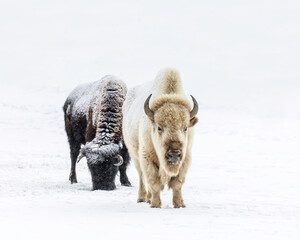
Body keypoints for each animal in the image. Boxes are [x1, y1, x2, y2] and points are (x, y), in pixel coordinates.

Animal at [123, 68, 198, 207]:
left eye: (185, 128)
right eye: (159, 127)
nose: (174, 154)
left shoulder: (186, 158)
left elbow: (177, 184)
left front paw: (180, 204)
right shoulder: (146, 157)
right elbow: (154, 183)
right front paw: (155, 204)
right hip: (135, 155)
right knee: (141, 176)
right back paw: (143, 198)